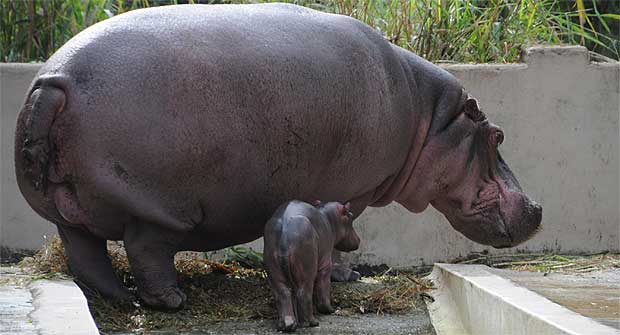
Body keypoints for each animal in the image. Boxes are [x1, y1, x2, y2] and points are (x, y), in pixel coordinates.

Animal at [12, 3, 540, 312]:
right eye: (498, 135)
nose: (537, 207)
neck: (430, 117)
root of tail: (53, 81)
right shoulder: (351, 189)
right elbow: (341, 228)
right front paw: (347, 275)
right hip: (159, 207)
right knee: (145, 250)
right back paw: (174, 300)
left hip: (72, 206)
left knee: (87, 254)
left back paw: (122, 298)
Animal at [264, 201, 360, 332]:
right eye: (351, 215)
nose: (359, 240)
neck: (329, 218)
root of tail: (284, 234)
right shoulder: (326, 262)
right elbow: (324, 287)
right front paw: (331, 310)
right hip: (307, 268)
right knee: (304, 293)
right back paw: (312, 322)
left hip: (273, 268)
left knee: (283, 294)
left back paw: (287, 325)